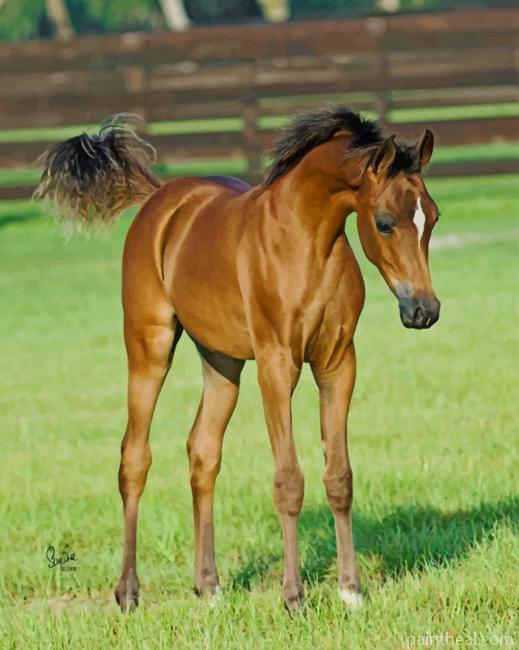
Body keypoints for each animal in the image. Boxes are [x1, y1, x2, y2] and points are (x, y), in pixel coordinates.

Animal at [35, 107, 441, 612]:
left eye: (434, 219)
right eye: (384, 222)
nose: (424, 311)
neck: (308, 243)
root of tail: (160, 197)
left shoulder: (337, 364)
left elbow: (340, 476)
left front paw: (350, 591)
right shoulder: (277, 366)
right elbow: (288, 481)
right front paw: (293, 597)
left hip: (222, 362)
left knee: (203, 451)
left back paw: (208, 587)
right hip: (149, 348)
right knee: (134, 458)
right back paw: (128, 591)